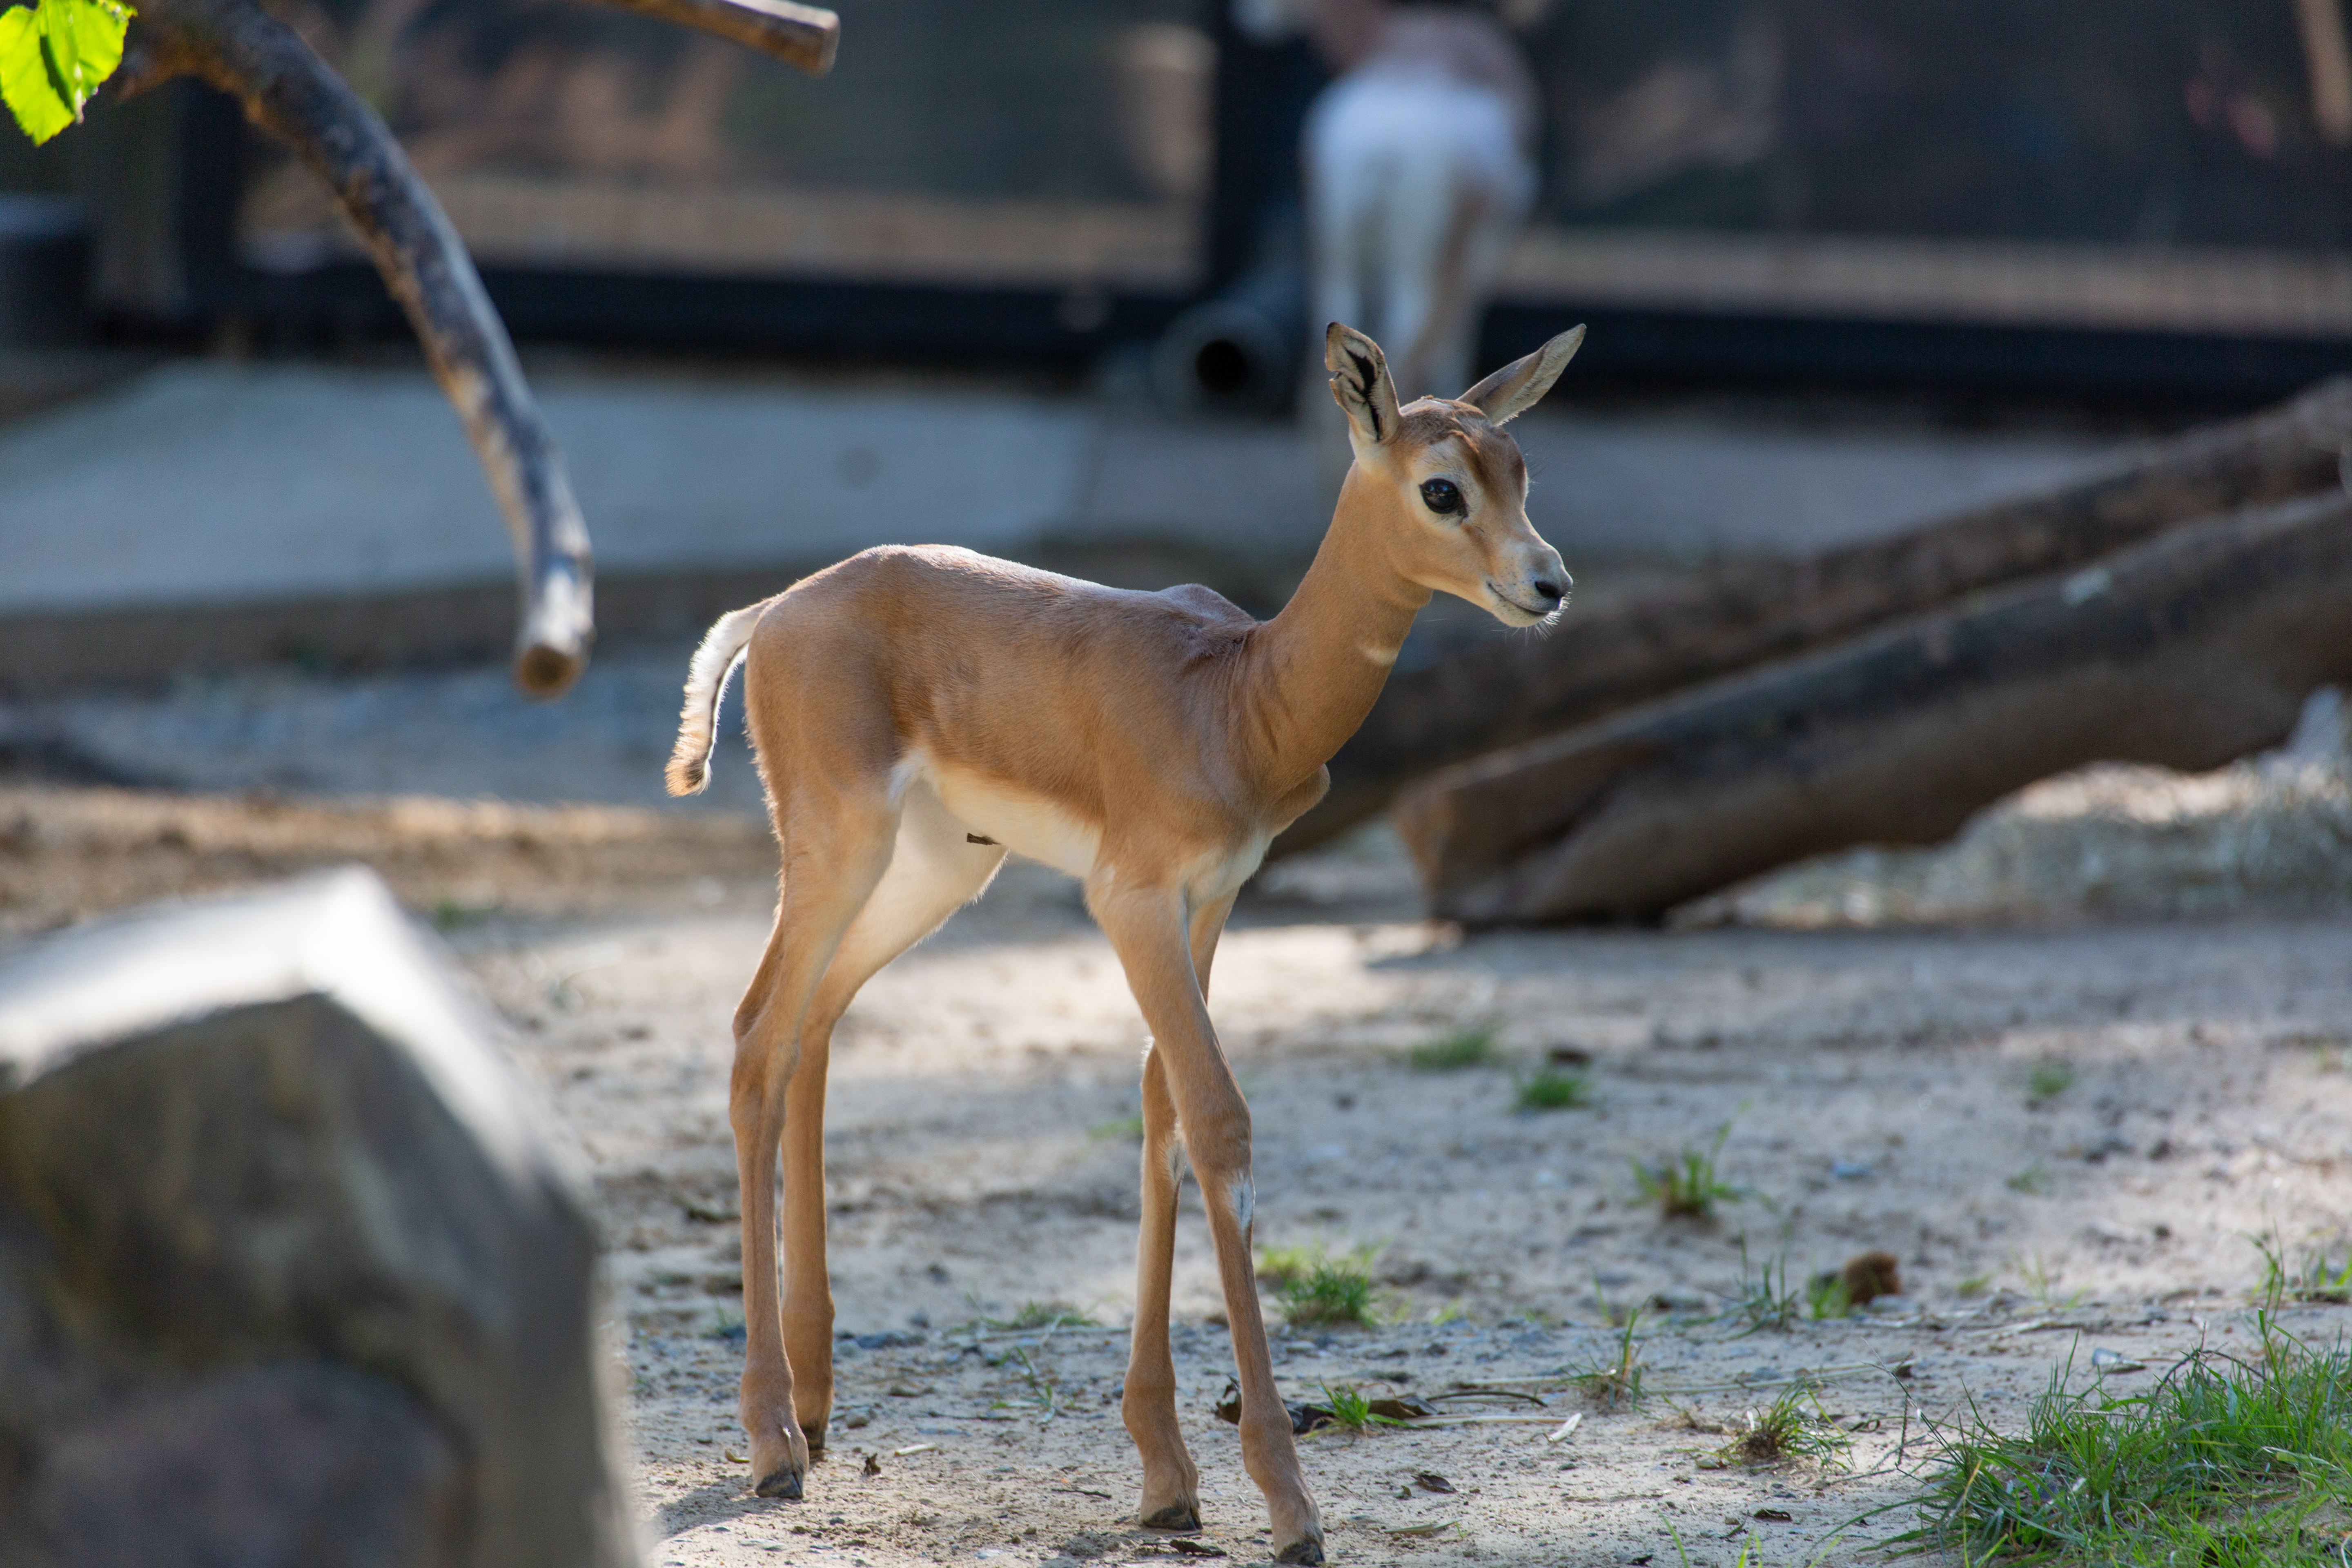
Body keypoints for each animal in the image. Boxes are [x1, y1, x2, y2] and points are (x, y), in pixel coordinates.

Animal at [663, 319, 1580, 1561]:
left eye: (1520, 468)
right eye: (1441, 486)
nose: (1548, 584)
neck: (1240, 695)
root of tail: (776, 612)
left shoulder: (1211, 900)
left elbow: (1161, 1113)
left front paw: (1166, 1473)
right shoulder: (1130, 902)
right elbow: (1220, 1120)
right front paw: (1289, 1504)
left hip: (939, 869)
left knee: (817, 1021)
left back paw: (813, 1403)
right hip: (837, 847)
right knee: (759, 1032)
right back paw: (770, 1445)